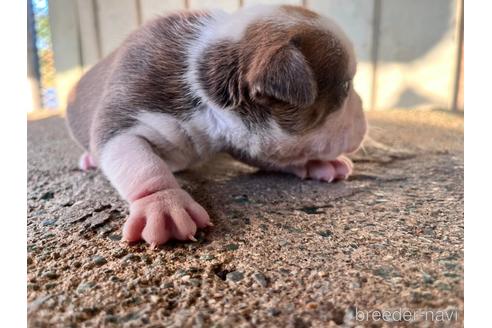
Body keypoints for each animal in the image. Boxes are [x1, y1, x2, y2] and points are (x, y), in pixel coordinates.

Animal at [64, 5, 366, 247]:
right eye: (346, 87)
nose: (364, 112)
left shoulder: (245, 137)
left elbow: (277, 157)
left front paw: (316, 163)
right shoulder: (127, 115)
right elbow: (140, 161)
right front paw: (163, 203)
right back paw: (89, 159)